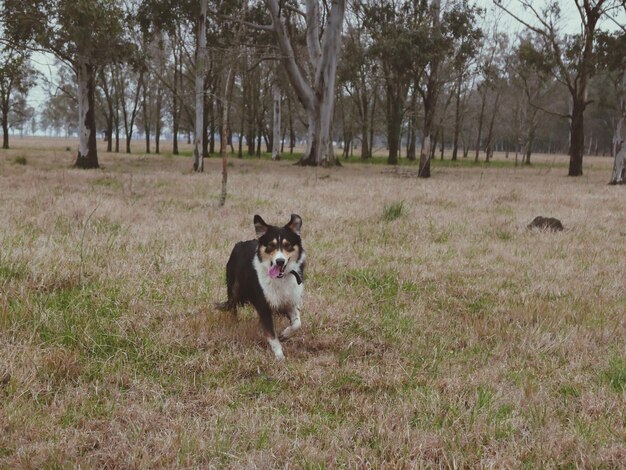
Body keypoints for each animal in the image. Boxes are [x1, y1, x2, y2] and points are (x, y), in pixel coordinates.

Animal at [218, 214, 306, 360]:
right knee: (232, 306)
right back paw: (234, 323)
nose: (280, 261)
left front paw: (285, 334)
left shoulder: (290, 301)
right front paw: (279, 356)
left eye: (287, 245)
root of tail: (241, 243)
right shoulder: (263, 305)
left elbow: (297, 324)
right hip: (234, 287)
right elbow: (272, 335)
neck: (280, 278)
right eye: (271, 245)